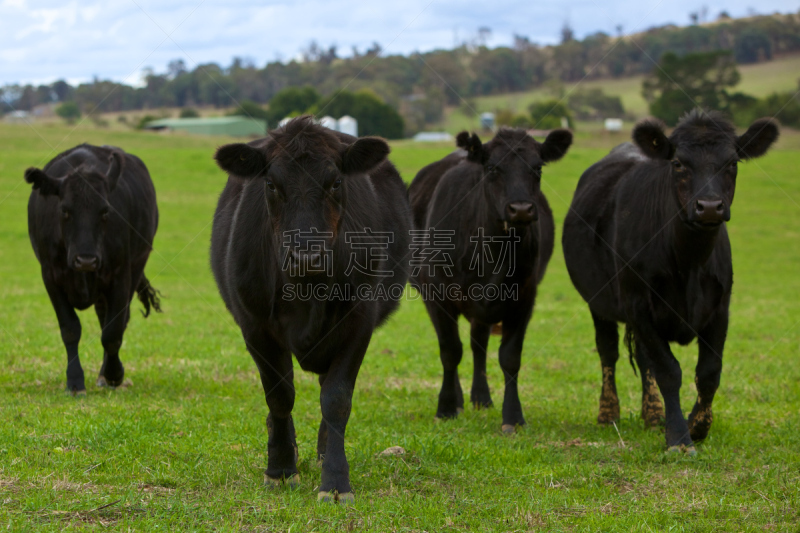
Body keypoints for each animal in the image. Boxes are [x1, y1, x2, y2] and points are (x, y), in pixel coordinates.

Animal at [25, 143, 159, 392]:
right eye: (65, 210)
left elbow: (112, 332)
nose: (86, 260)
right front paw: (75, 381)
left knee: (114, 321)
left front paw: (114, 374)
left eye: (105, 210)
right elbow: (70, 329)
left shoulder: (120, 275)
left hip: (136, 266)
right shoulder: (50, 276)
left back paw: (105, 375)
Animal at [211, 114, 412, 500]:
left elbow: (336, 399)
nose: (307, 256)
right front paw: (280, 468)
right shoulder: (255, 326)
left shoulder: (358, 321)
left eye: (335, 182)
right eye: (271, 184)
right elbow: (279, 396)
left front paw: (335, 481)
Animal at [410, 128, 572, 432]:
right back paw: (459, 400)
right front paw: (446, 408)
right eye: (492, 168)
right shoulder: (437, 295)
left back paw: (481, 397)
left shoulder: (523, 298)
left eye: (538, 168)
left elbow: (509, 357)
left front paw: (513, 417)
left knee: (478, 344)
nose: (520, 209)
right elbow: (450, 351)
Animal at [560, 110, 780, 450]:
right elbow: (668, 370)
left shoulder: (720, 308)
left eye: (732, 163)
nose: (709, 207)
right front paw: (678, 436)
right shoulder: (638, 306)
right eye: (678, 163)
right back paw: (608, 412)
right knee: (608, 351)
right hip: (599, 302)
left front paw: (697, 426)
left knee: (642, 358)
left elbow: (709, 372)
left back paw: (653, 415)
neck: (689, 263)